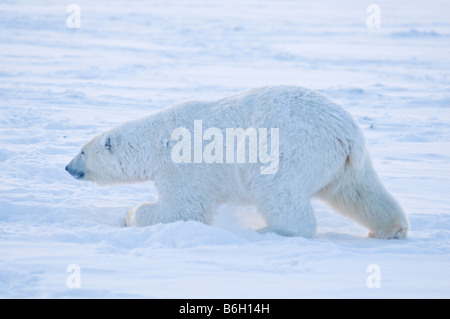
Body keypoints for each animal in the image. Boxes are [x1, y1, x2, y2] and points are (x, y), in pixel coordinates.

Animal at [66, 86, 408, 239]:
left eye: (82, 150)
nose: (68, 167)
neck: (157, 139)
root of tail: (345, 134)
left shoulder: (183, 167)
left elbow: (184, 209)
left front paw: (130, 216)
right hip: (347, 164)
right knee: (359, 192)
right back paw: (390, 229)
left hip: (293, 151)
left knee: (280, 195)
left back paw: (268, 230)